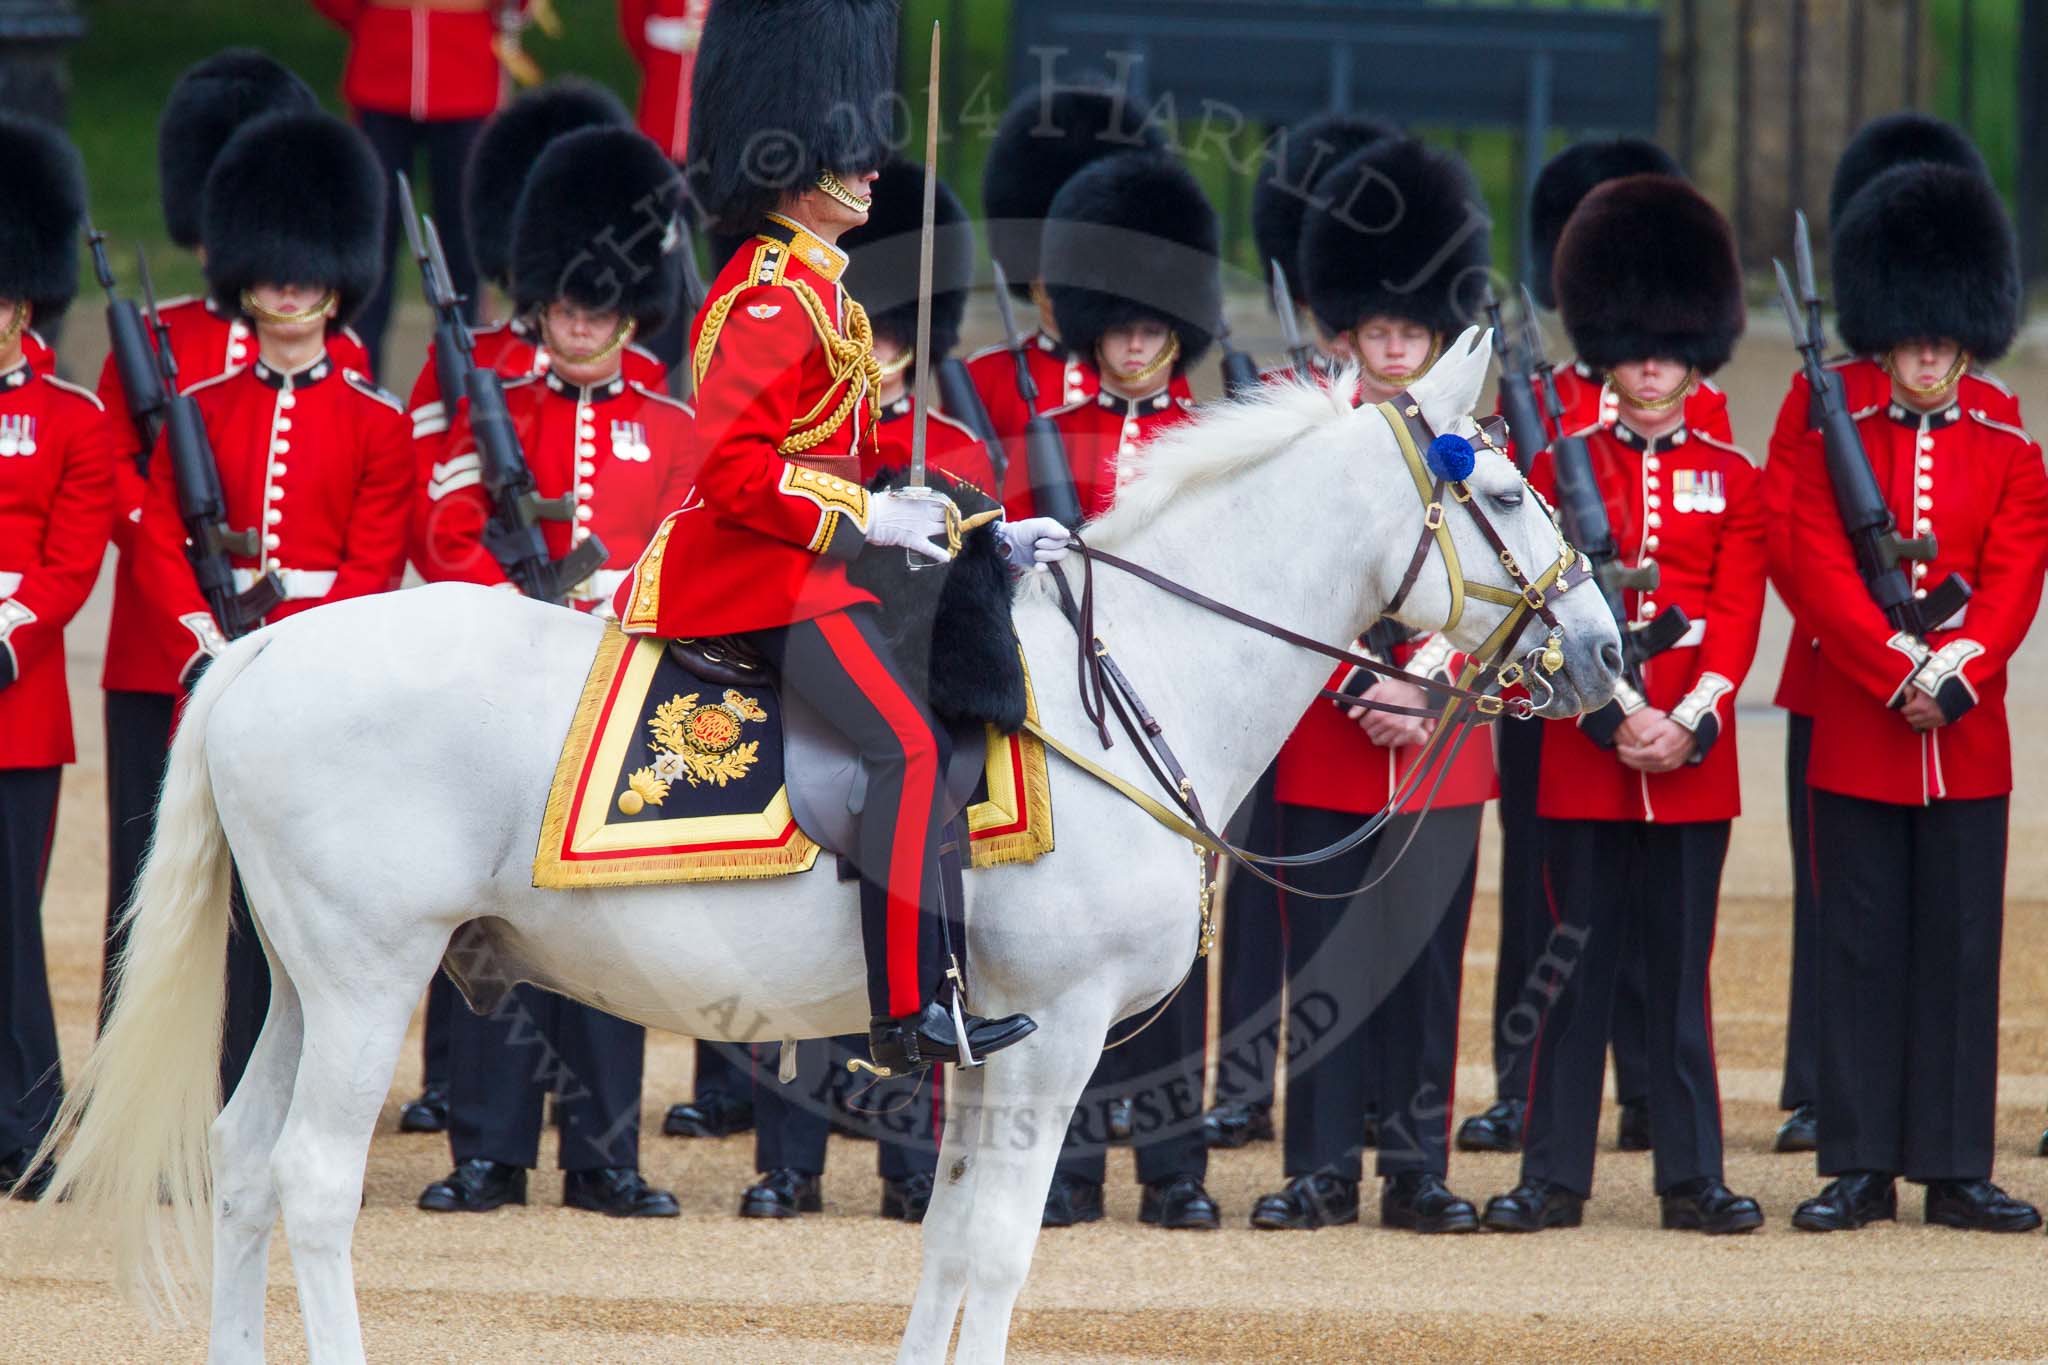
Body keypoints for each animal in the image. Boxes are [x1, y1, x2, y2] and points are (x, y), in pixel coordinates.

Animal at [28, 325, 1613, 1358]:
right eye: (1509, 491)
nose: (1607, 650)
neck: (1124, 683)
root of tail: (259, 649)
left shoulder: (988, 1037)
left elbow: (952, 1236)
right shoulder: (1061, 1033)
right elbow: (1000, 1248)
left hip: (307, 981)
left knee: (241, 1165)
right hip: (367, 977)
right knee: (307, 1179)